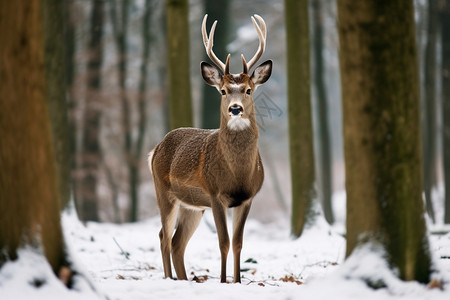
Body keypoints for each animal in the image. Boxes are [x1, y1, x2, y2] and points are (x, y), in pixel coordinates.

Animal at [149, 12, 272, 282]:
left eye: (248, 90)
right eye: (224, 91)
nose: (235, 108)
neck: (238, 175)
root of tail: (155, 148)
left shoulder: (247, 198)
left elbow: (238, 243)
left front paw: (237, 281)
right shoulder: (215, 194)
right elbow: (223, 242)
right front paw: (224, 281)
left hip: (193, 206)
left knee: (177, 242)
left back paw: (184, 279)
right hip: (164, 191)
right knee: (164, 237)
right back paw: (170, 279)